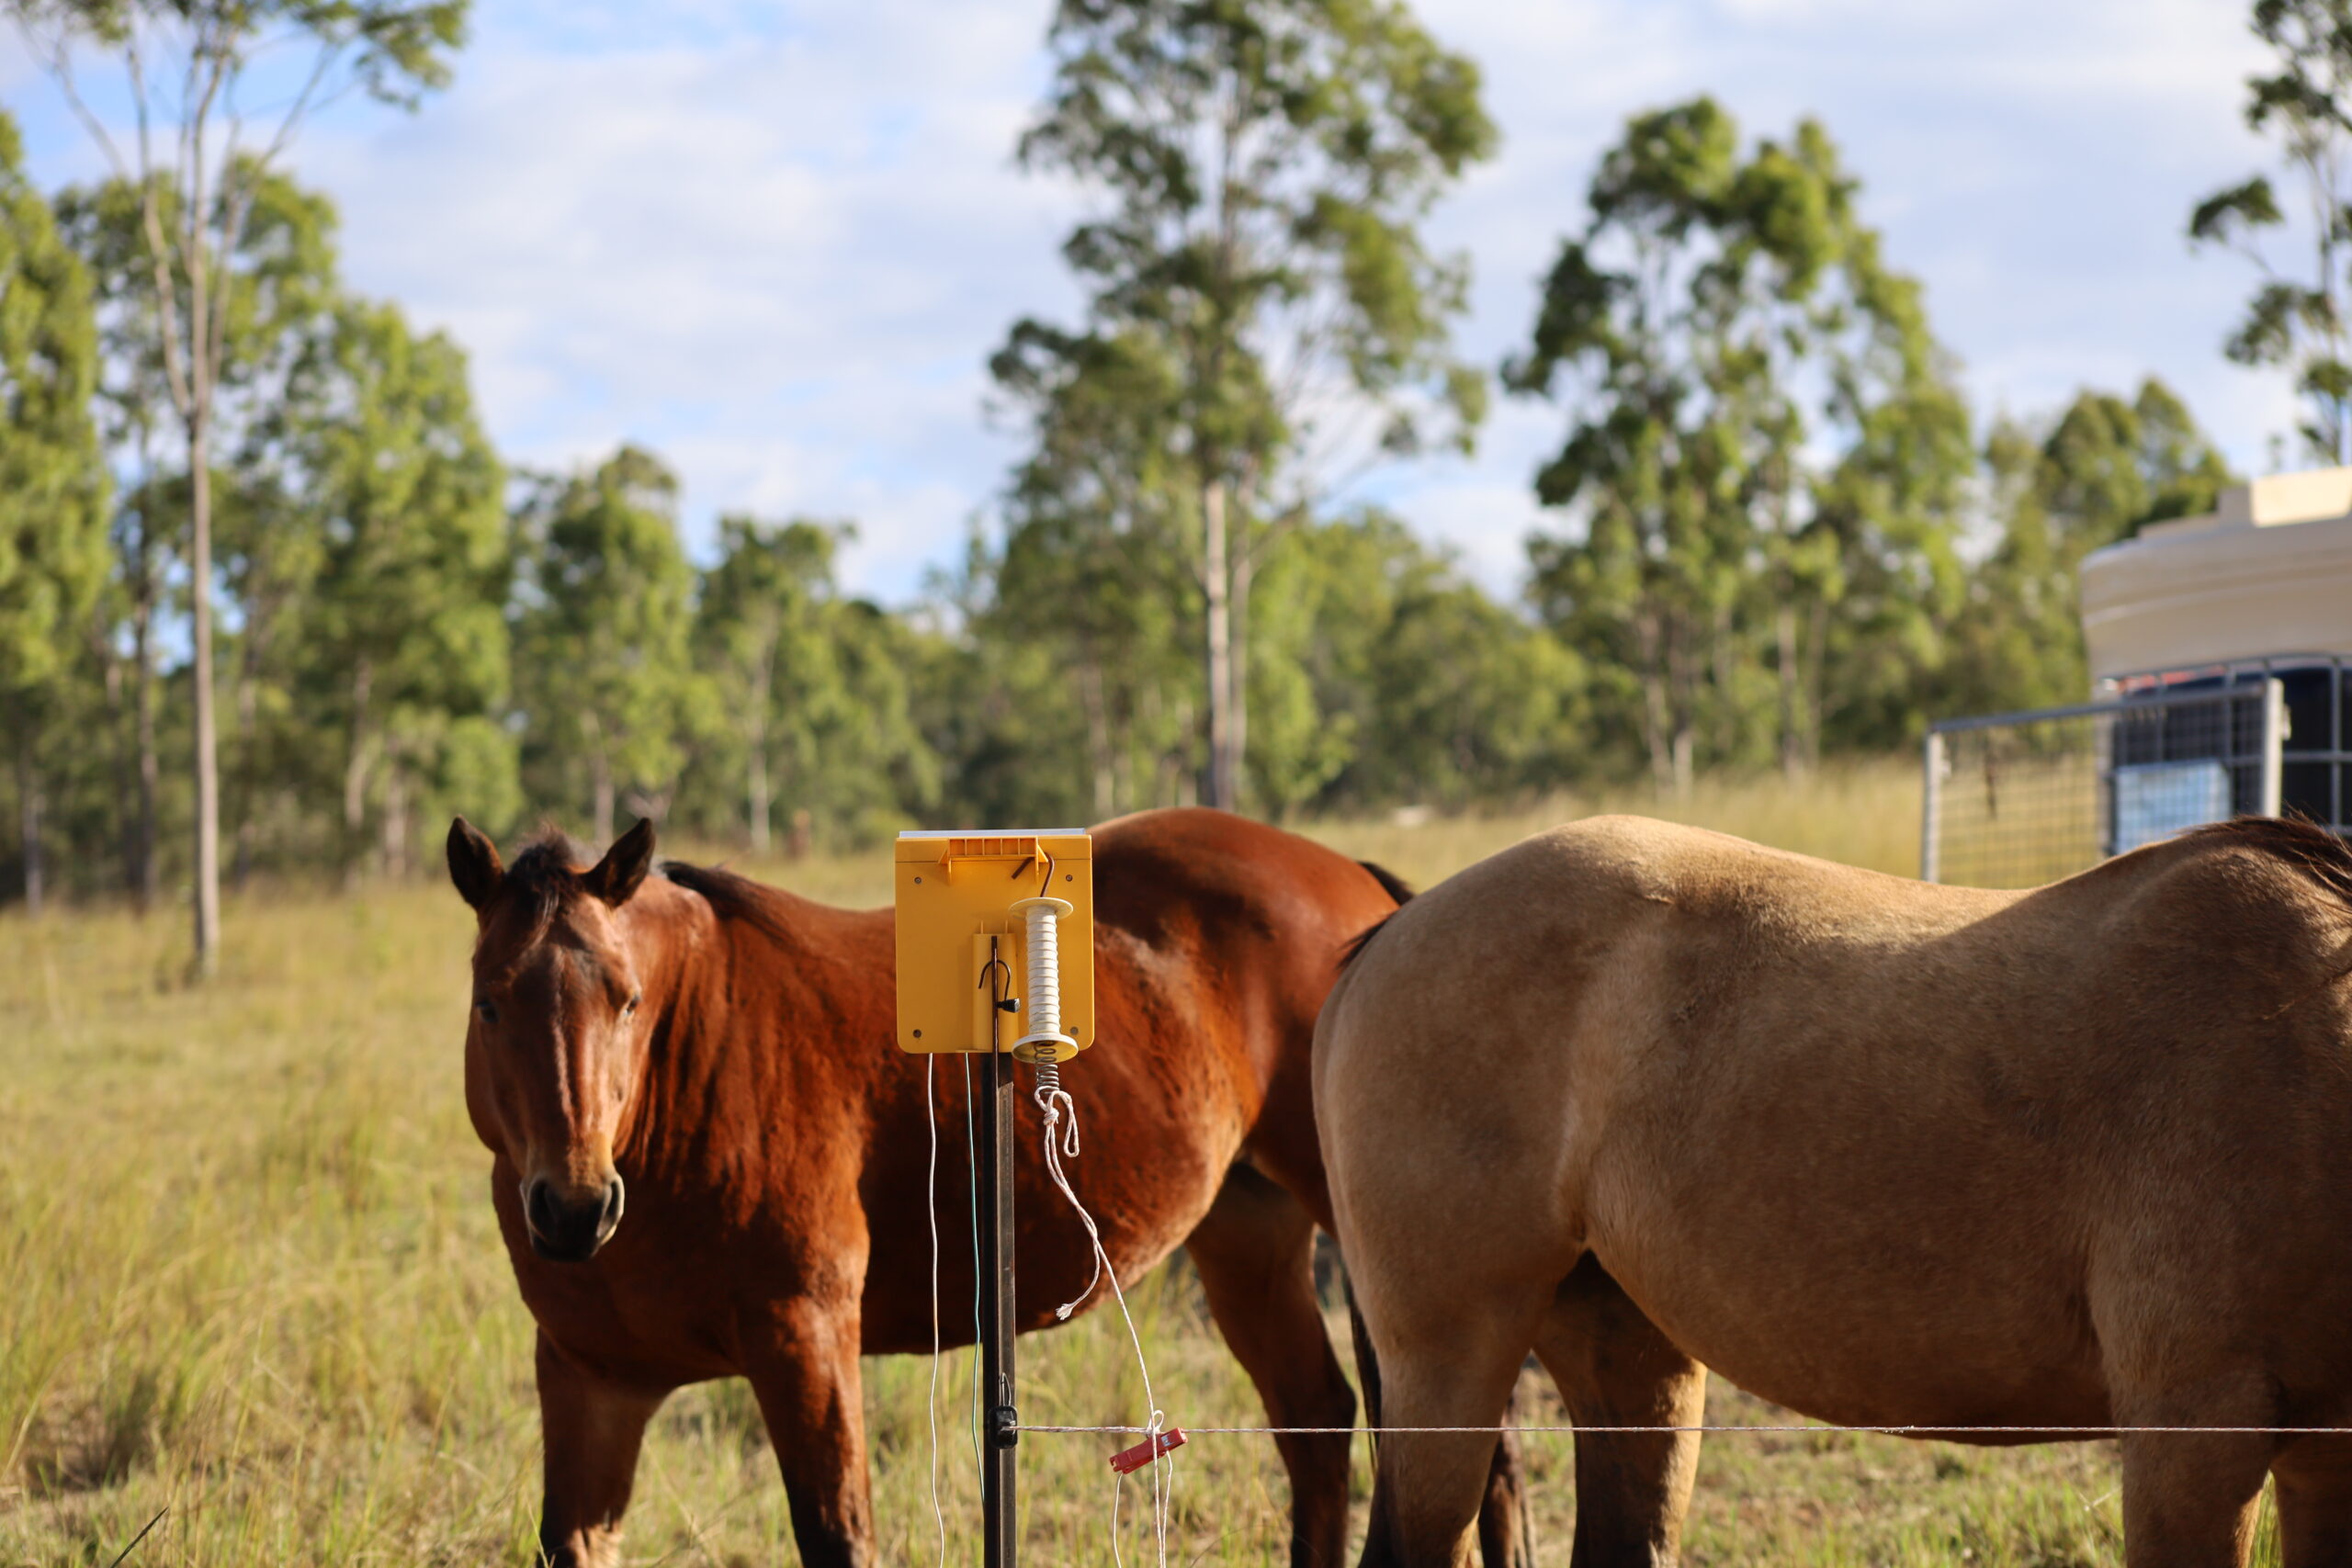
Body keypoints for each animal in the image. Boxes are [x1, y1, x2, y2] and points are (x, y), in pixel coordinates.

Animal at [445, 806, 1529, 1568]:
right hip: (1245, 1237)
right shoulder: (590, 1383)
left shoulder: (804, 1346)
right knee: (1316, 1420)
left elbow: (836, 1534)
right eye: (489, 1002)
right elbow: (567, 1539)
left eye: (627, 1000)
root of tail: (1364, 892)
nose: (574, 1206)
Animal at [1316, 813, 2352, 1568]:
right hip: (1448, 1359)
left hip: (1626, 1350)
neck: (2302, 1050)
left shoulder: (2322, 1451)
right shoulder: (2194, 1432)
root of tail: (1384, 935)